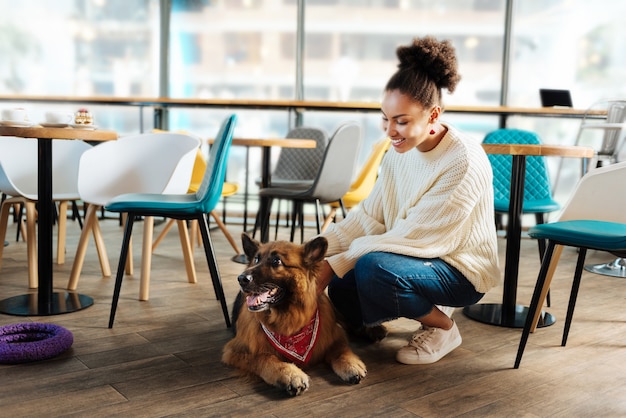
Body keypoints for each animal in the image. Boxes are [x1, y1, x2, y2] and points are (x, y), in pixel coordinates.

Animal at [222, 233, 366, 396]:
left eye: (276, 261)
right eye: (256, 259)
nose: (241, 278)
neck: (288, 318)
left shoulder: (334, 335)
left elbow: (341, 349)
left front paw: (350, 364)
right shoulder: (235, 350)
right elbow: (264, 358)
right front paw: (289, 374)